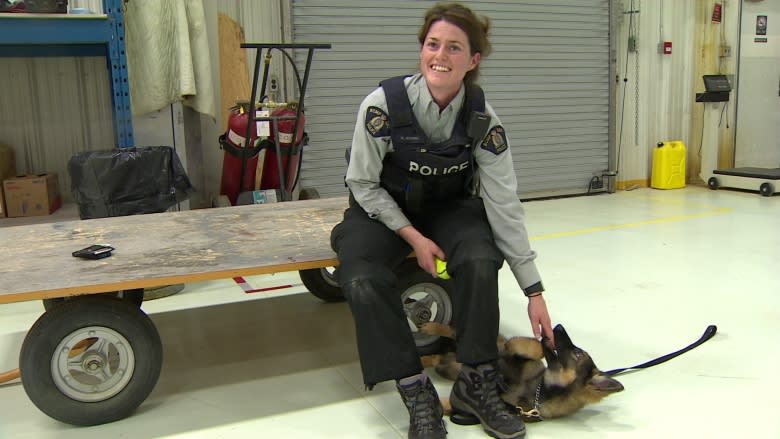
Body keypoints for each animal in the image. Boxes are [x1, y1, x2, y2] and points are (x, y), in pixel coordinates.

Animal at [418, 324, 624, 422]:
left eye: (578, 353)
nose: (557, 326)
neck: (536, 391)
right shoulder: (511, 348)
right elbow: (535, 347)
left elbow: (446, 405)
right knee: (455, 331)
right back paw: (431, 326)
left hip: (446, 367)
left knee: (436, 358)